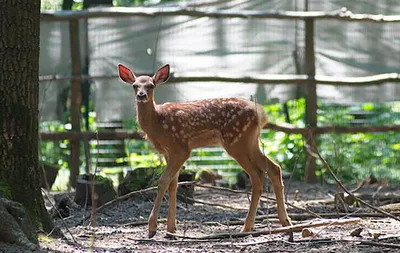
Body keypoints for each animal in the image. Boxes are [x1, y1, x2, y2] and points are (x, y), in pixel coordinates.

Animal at [117, 64, 292, 238]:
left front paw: (153, 228)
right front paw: (171, 228)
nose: (141, 95)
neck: (157, 122)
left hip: (236, 141)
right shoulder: (168, 153)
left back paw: (247, 227)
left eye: (151, 85)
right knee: (273, 169)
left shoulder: (181, 148)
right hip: (250, 141)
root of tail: (261, 113)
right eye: (134, 85)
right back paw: (282, 222)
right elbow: (173, 184)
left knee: (257, 175)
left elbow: (162, 181)